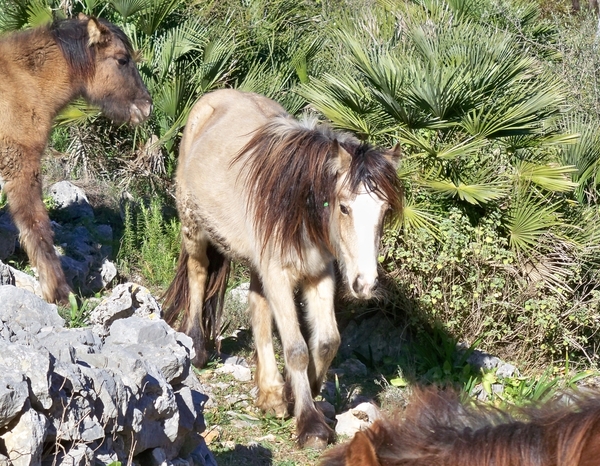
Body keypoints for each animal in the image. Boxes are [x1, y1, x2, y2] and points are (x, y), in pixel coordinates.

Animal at [0, 15, 152, 302]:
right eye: (122, 59)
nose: (146, 107)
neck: (22, 82)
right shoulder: (21, 165)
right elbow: (37, 226)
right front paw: (59, 292)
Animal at [162, 89, 400, 450]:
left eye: (384, 211)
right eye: (344, 207)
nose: (365, 283)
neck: (298, 205)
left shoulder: (319, 274)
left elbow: (327, 341)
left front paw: (297, 392)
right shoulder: (279, 275)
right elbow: (297, 349)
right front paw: (310, 425)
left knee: (258, 309)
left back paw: (271, 393)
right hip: (195, 229)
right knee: (198, 273)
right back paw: (197, 347)